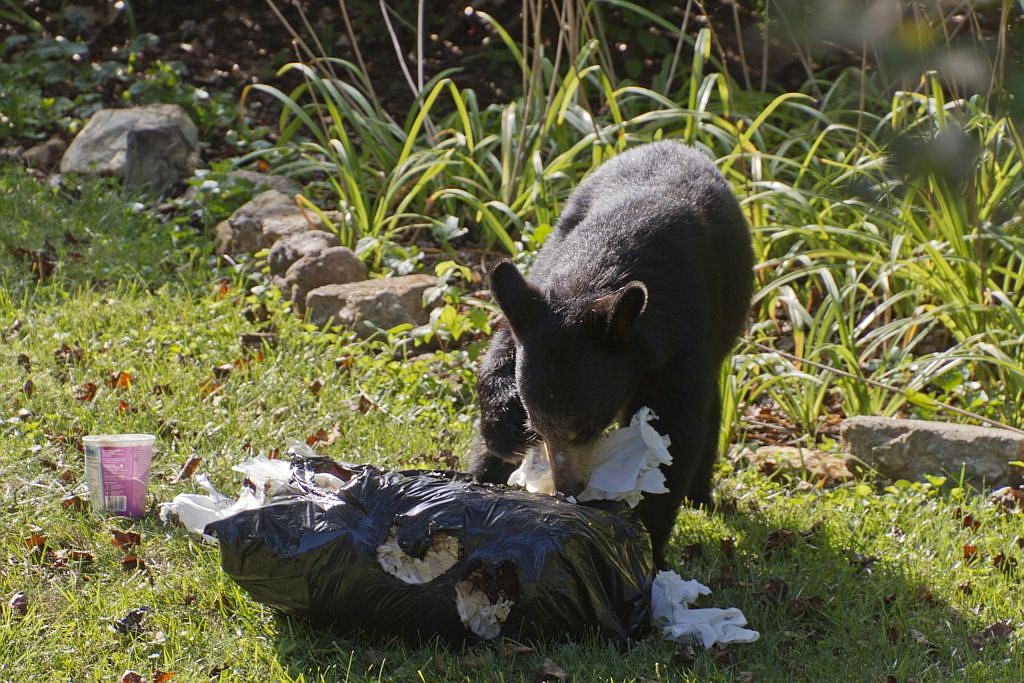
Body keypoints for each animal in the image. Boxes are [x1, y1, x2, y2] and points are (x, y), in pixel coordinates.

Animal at [468, 140, 753, 565]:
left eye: (585, 429)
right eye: (537, 427)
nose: (567, 487)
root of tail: (672, 144)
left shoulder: (682, 336)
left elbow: (675, 433)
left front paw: (648, 537)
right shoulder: (537, 294)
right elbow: (501, 350)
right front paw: (502, 431)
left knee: (710, 409)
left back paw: (701, 494)